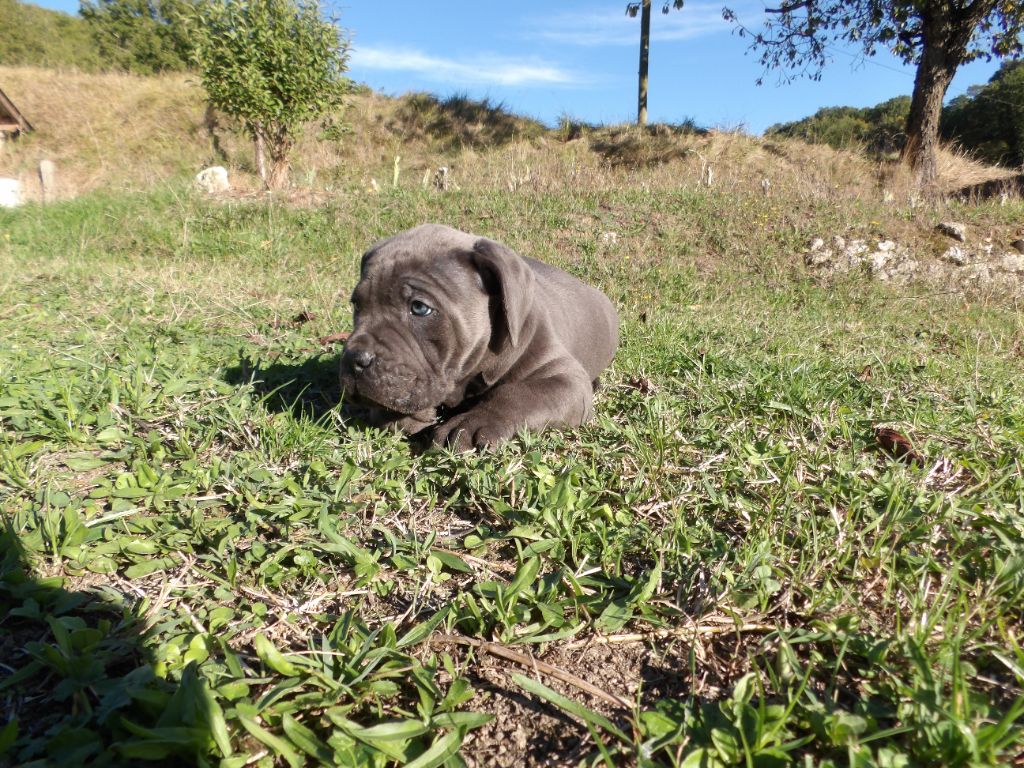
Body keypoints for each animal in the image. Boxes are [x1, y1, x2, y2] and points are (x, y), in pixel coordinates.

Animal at [339, 222, 618, 450]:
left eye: (419, 308)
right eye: (357, 305)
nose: (354, 360)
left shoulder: (567, 380)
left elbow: (519, 393)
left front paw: (470, 423)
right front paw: (409, 417)